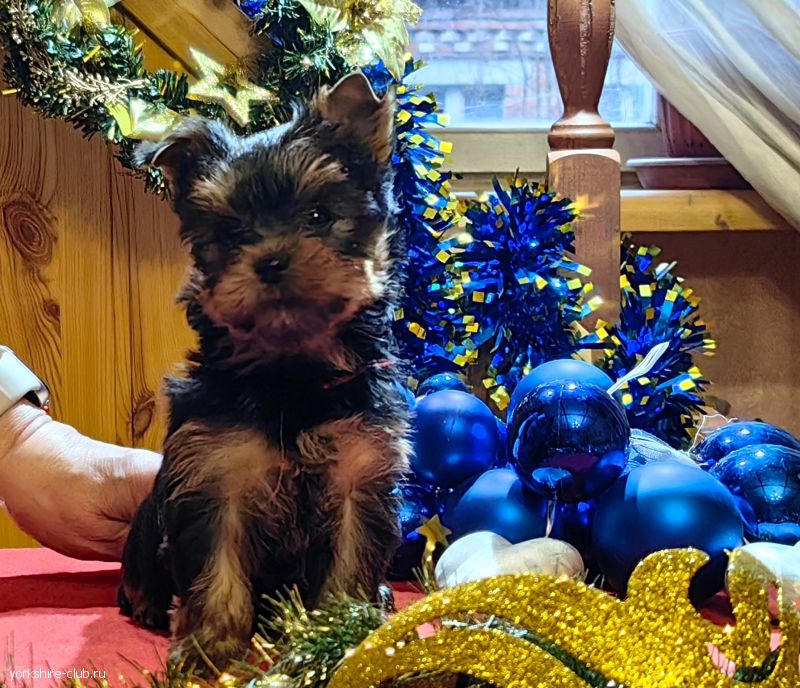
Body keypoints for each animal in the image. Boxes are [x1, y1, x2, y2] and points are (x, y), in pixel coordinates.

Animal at [118, 72, 410, 669]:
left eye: (318, 216)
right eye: (231, 235)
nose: (271, 261)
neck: (293, 372)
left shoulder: (360, 474)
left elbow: (352, 558)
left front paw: (341, 630)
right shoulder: (214, 473)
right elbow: (218, 565)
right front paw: (209, 647)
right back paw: (149, 605)